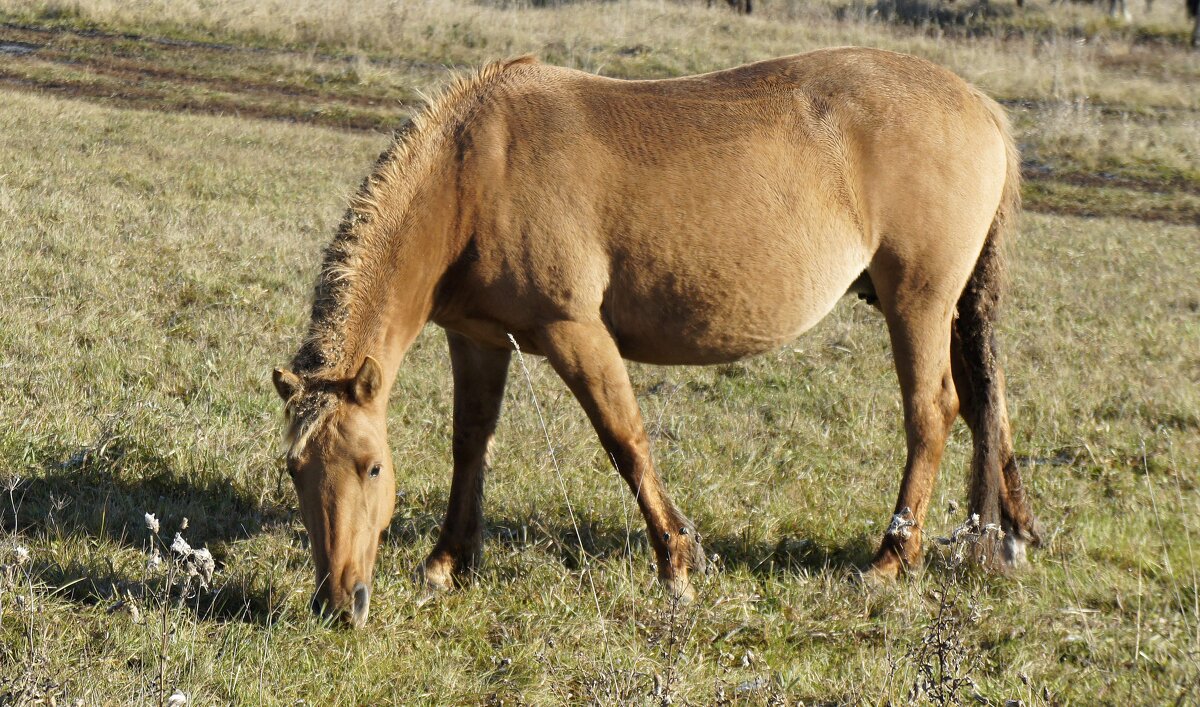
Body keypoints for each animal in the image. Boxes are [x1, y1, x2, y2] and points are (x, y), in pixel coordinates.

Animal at [272, 49, 1041, 624]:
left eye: (371, 467)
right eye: (296, 470)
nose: (338, 602)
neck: (478, 170)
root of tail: (978, 102)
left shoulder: (574, 332)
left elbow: (626, 442)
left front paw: (677, 563)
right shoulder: (478, 340)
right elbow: (471, 443)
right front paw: (446, 561)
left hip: (918, 301)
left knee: (933, 412)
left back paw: (890, 558)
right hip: (950, 305)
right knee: (985, 402)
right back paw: (999, 537)